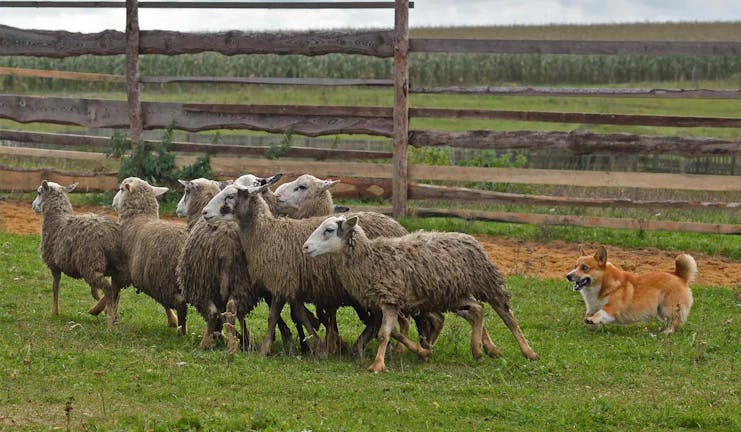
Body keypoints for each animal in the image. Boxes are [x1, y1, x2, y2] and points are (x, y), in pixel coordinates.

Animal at [32, 180, 129, 324]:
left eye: (39, 192)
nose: (33, 206)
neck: (57, 219)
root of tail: (110, 235)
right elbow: (93, 291)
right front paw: (101, 304)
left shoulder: (54, 265)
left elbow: (55, 287)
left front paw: (54, 312)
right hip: (113, 265)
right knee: (116, 288)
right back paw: (104, 310)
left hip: (91, 263)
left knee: (108, 289)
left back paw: (109, 317)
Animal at [112, 176, 189, 334]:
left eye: (121, 189)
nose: (112, 202)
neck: (139, 217)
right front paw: (172, 320)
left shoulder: (123, 271)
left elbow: (114, 294)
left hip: (165, 279)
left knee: (181, 304)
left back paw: (183, 331)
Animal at [201, 173, 410, 358]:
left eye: (230, 196)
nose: (204, 212)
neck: (266, 233)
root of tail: (398, 227)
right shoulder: (294, 286)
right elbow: (300, 314)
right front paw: (318, 345)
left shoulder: (282, 280)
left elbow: (274, 317)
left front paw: (266, 350)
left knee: (380, 317)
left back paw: (370, 347)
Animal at [300, 214, 536, 372]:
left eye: (329, 230)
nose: (305, 247)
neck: (370, 257)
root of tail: (470, 238)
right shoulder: (387, 302)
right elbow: (394, 332)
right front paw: (422, 351)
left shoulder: (390, 299)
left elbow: (384, 333)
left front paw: (377, 365)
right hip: (450, 293)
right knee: (477, 310)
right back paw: (479, 350)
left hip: (485, 282)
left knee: (505, 314)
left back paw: (527, 351)